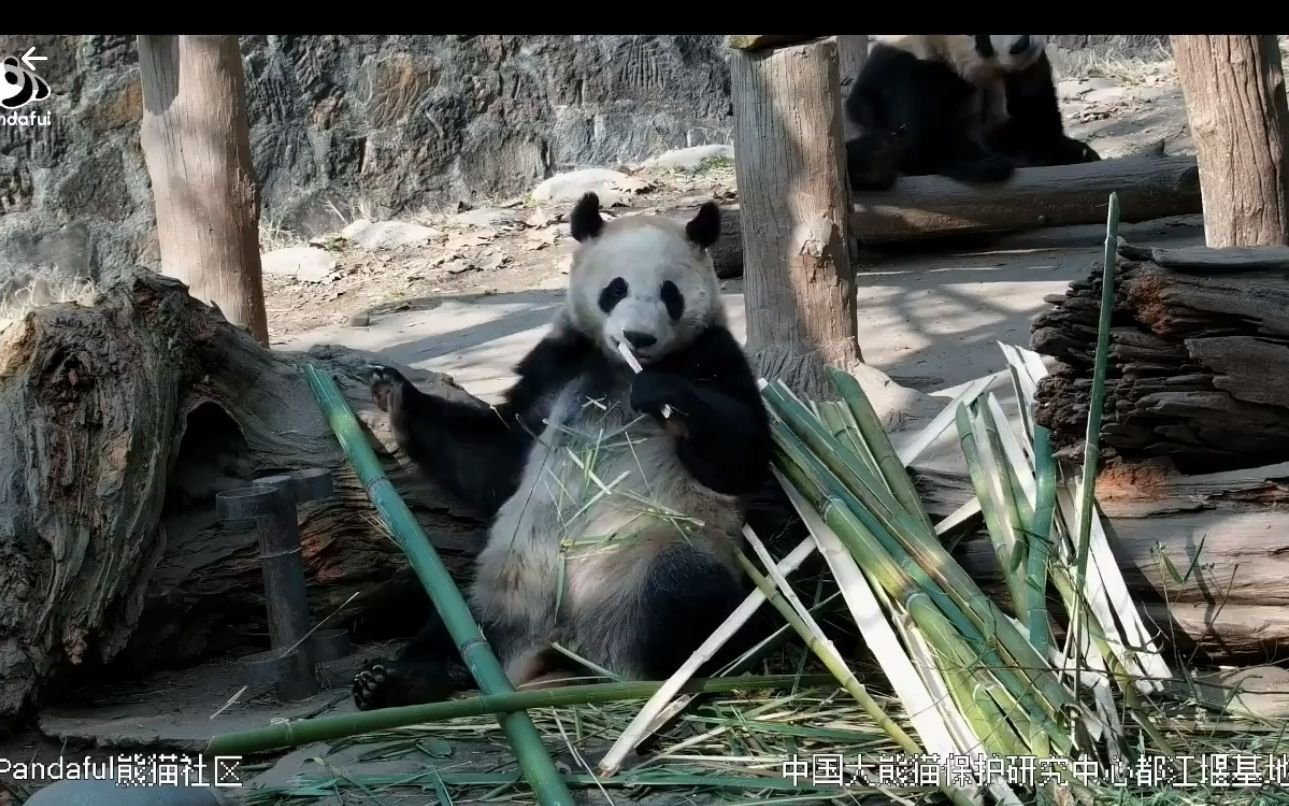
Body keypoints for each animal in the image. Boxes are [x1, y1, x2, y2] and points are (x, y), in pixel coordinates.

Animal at [353, 192, 773, 706]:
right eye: (616, 289)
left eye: (669, 293)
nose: (639, 338)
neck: (617, 368)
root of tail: (562, 640)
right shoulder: (557, 366)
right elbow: (496, 458)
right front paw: (394, 392)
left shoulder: (713, 354)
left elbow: (742, 456)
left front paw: (662, 392)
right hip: (506, 573)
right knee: (454, 614)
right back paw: (397, 679)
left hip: (656, 549)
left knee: (686, 599)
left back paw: (672, 674)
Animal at [845, 35, 1098, 192]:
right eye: (981, 38)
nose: (1020, 44)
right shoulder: (909, 73)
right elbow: (916, 142)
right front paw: (985, 164)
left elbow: (1033, 122)